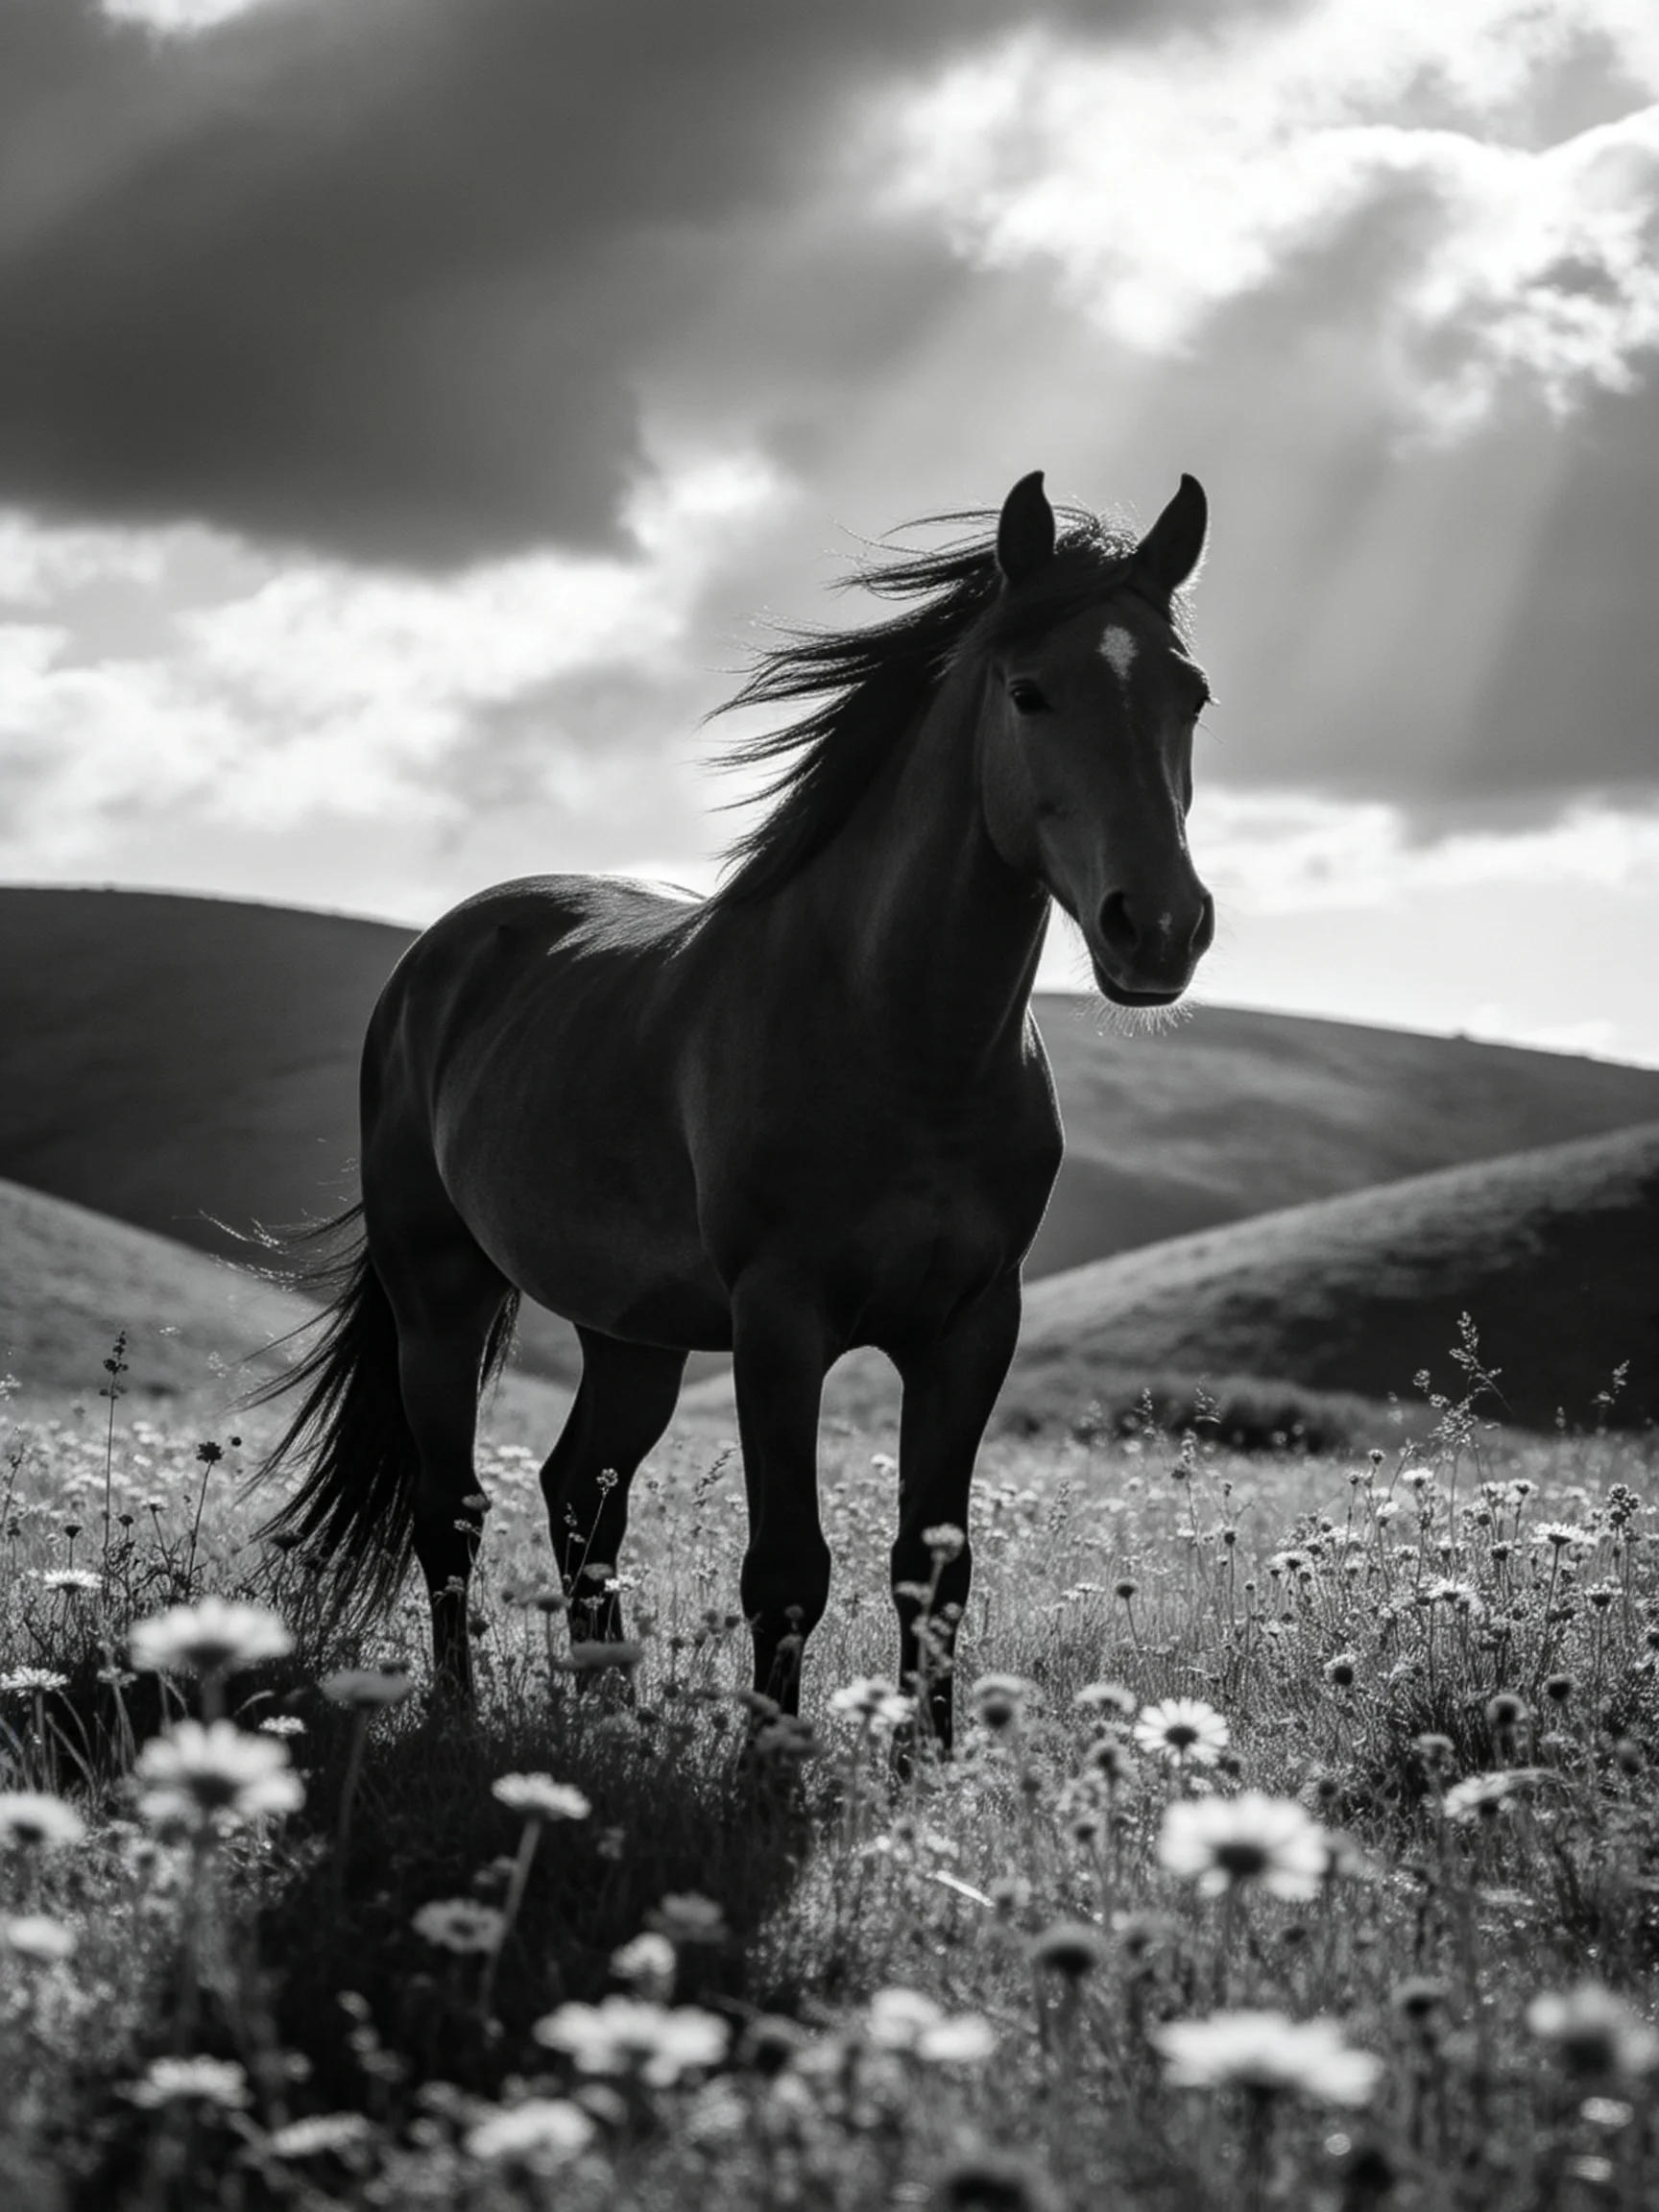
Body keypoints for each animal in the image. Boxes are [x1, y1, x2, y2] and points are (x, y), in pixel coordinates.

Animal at [259, 469, 1216, 1747]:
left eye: (1190, 695)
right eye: (1029, 691)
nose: (1156, 928)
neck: (901, 1038)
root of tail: (445, 952)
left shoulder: (972, 1327)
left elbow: (933, 1569)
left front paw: (926, 1771)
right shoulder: (779, 1325)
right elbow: (788, 1572)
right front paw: (772, 1762)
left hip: (632, 1331)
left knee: (582, 1497)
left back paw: (606, 1717)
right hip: (440, 1291)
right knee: (450, 1504)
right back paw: (461, 1713)